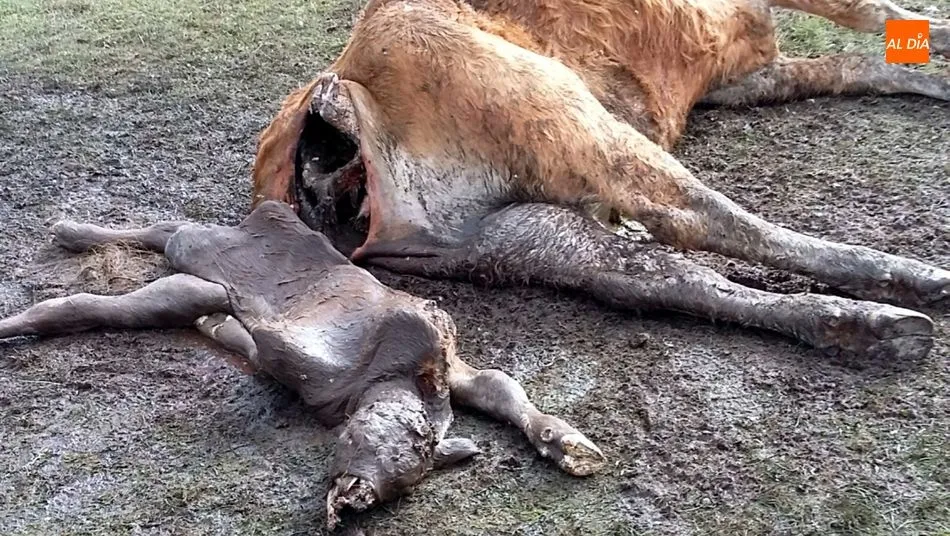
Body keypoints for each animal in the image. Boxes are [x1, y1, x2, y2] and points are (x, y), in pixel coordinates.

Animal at [0, 201, 606, 529]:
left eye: (406, 478)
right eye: (383, 437)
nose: (358, 493)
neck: (396, 380)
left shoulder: (452, 373)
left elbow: (501, 386)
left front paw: (570, 444)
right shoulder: (336, 362)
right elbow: (270, 342)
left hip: (188, 273)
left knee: (155, 260)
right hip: (205, 255)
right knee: (155, 248)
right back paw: (67, 240)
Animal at [251, 0, 949, 361]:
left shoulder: (749, 74)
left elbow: (854, 62)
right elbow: (877, 19)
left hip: (506, 235)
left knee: (665, 279)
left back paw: (876, 327)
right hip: (562, 112)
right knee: (702, 219)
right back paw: (916, 283)